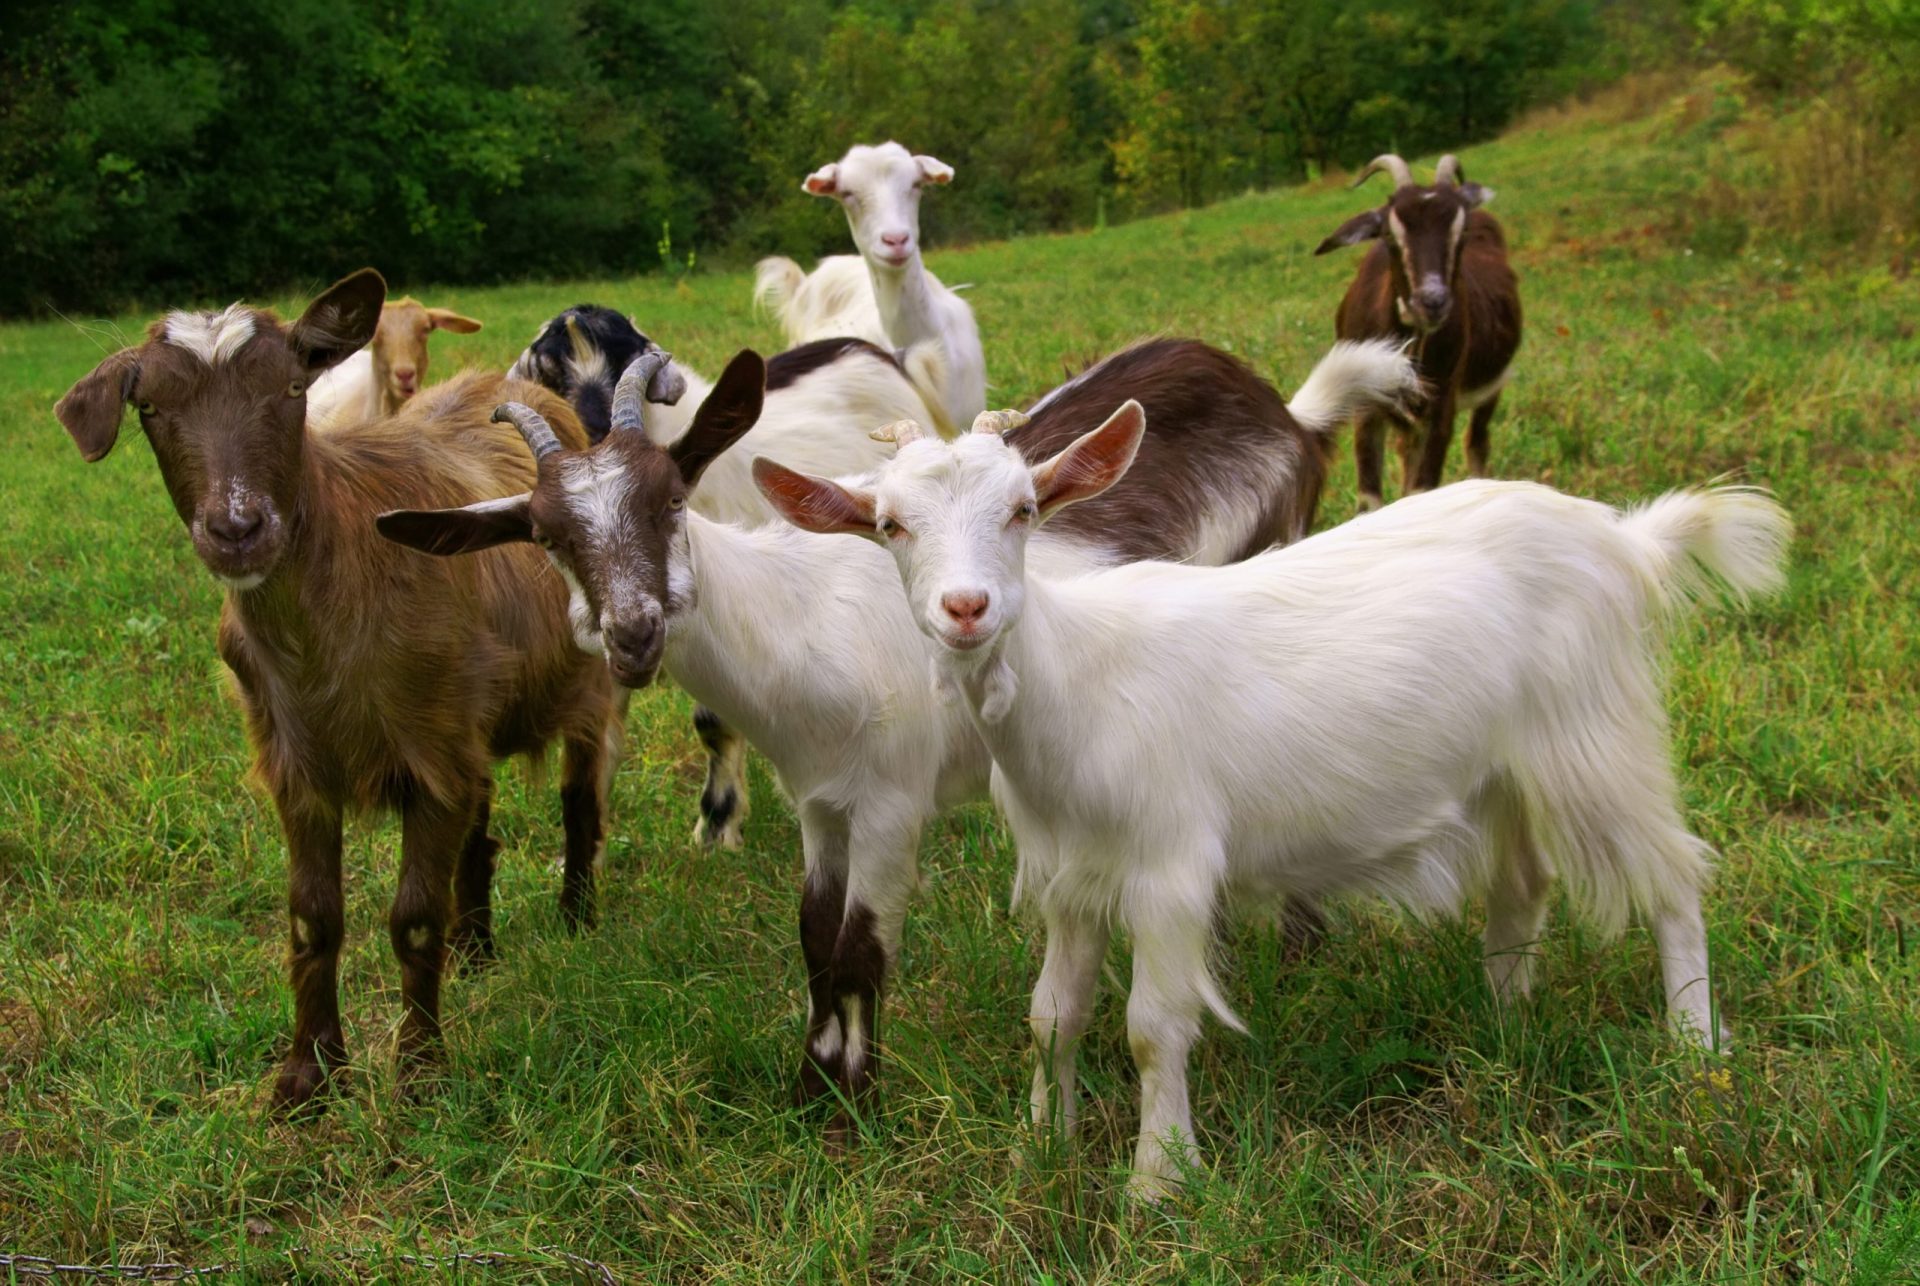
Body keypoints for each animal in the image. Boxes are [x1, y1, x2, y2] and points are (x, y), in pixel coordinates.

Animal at [48, 266, 614, 1113]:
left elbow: (413, 917)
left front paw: (419, 1071)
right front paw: (309, 1076)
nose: (237, 529)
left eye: (292, 388)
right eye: (148, 407)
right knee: (481, 826)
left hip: (582, 683)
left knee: (578, 797)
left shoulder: (430, 753)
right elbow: (313, 917)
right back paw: (477, 948)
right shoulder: (299, 760)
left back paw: (577, 918)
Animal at [756, 408, 1789, 1205]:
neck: (1077, 684)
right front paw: (1039, 1149)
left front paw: (1158, 1183)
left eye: (1024, 510)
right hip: (1506, 765)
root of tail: (1625, 539)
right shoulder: (1070, 876)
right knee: (1524, 881)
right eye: (890, 524)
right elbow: (1052, 1016)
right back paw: (1505, 1021)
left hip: (1593, 734)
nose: (966, 609)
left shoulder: (1169, 866)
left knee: (1674, 878)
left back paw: (1695, 1049)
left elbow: (1151, 1028)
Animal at [1313, 153, 1520, 510]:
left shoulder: (1441, 405)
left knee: (1476, 441)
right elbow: (1369, 500)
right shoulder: (1367, 410)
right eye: (1389, 235)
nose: (1432, 301)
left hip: (1491, 387)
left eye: (1462, 232)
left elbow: (1421, 489)